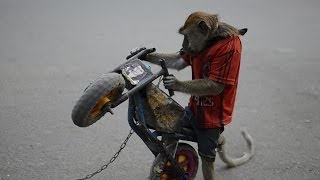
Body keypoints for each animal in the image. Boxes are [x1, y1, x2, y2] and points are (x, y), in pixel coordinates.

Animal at [139, 11, 254, 180]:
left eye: (186, 36)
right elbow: (179, 61)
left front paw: (175, 83)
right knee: (172, 137)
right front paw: (143, 54)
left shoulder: (229, 50)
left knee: (206, 156)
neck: (211, 41)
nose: (183, 46)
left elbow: (216, 85)